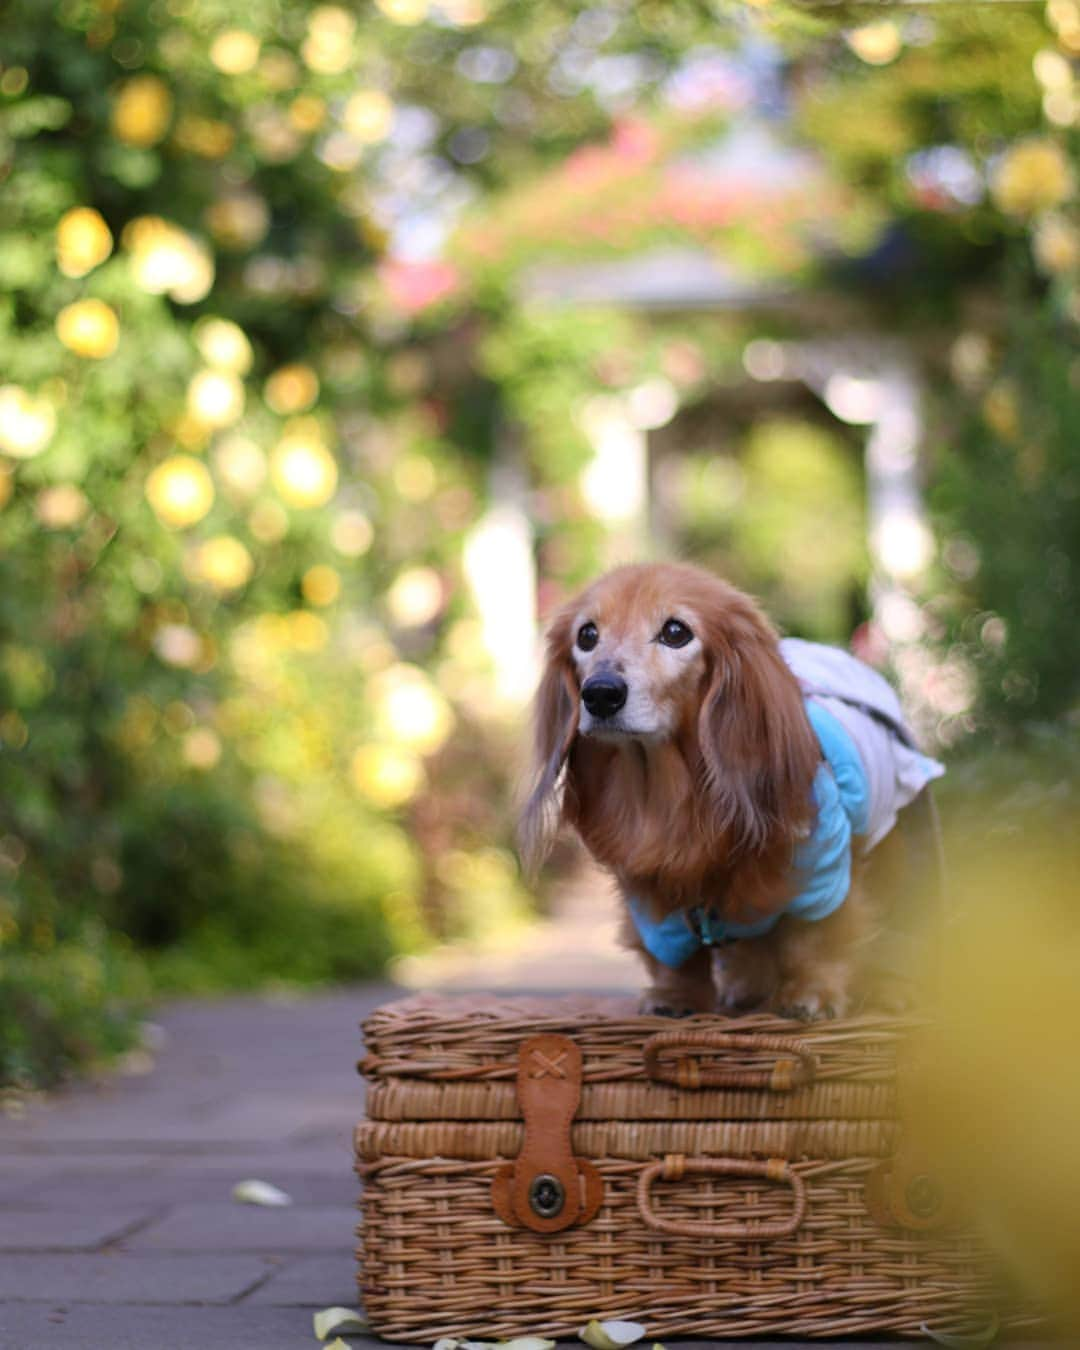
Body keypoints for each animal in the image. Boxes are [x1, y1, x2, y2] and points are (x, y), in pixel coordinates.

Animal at [518, 564, 939, 1015]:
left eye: (675, 632)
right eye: (587, 635)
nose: (599, 693)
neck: (667, 792)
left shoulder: (825, 872)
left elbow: (813, 939)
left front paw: (810, 992)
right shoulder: (650, 890)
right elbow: (674, 956)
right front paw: (676, 996)